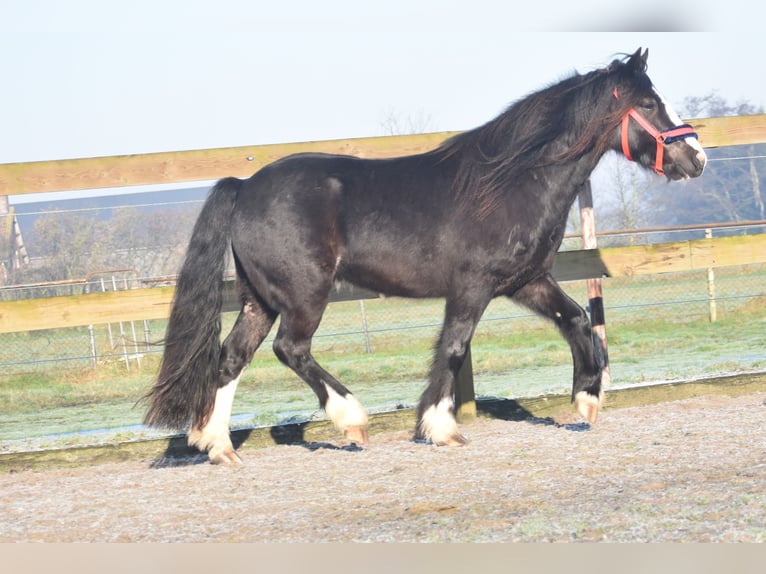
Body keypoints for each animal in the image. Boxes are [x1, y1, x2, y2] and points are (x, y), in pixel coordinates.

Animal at [144, 48, 708, 464]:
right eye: (651, 104)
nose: (697, 158)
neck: (512, 182)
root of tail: (244, 187)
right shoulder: (473, 286)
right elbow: (454, 348)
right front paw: (440, 428)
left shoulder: (527, 281)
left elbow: (577, 320)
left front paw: (587, 401)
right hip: (304, 295)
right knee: (291, 349)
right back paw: (352, 421)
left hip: (260, 299)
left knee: (232, 357)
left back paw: (217, 446)